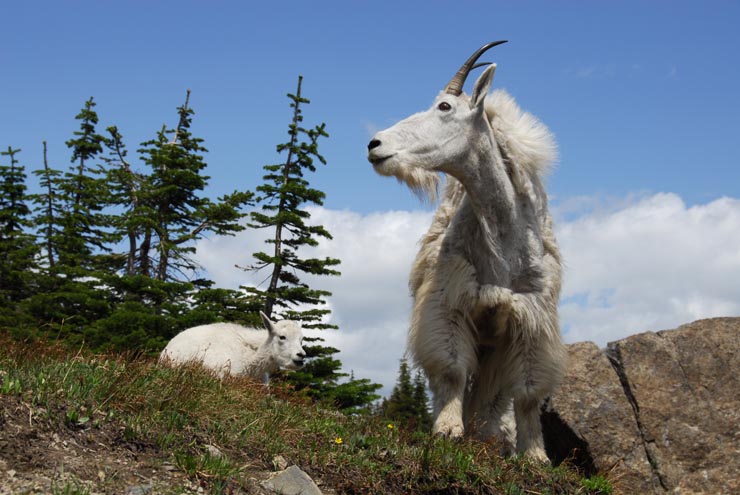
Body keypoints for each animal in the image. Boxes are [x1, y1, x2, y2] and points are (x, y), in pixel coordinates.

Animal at [368, 40, 564, 464]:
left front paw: (535, 455)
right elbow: (452, 368)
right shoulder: (450, 300)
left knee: (494, 394)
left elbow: (527, 392)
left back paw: (493, 435)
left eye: (444, 106)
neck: (505, 235)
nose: (374, 145)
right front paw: (447, 429)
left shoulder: (531, 318)